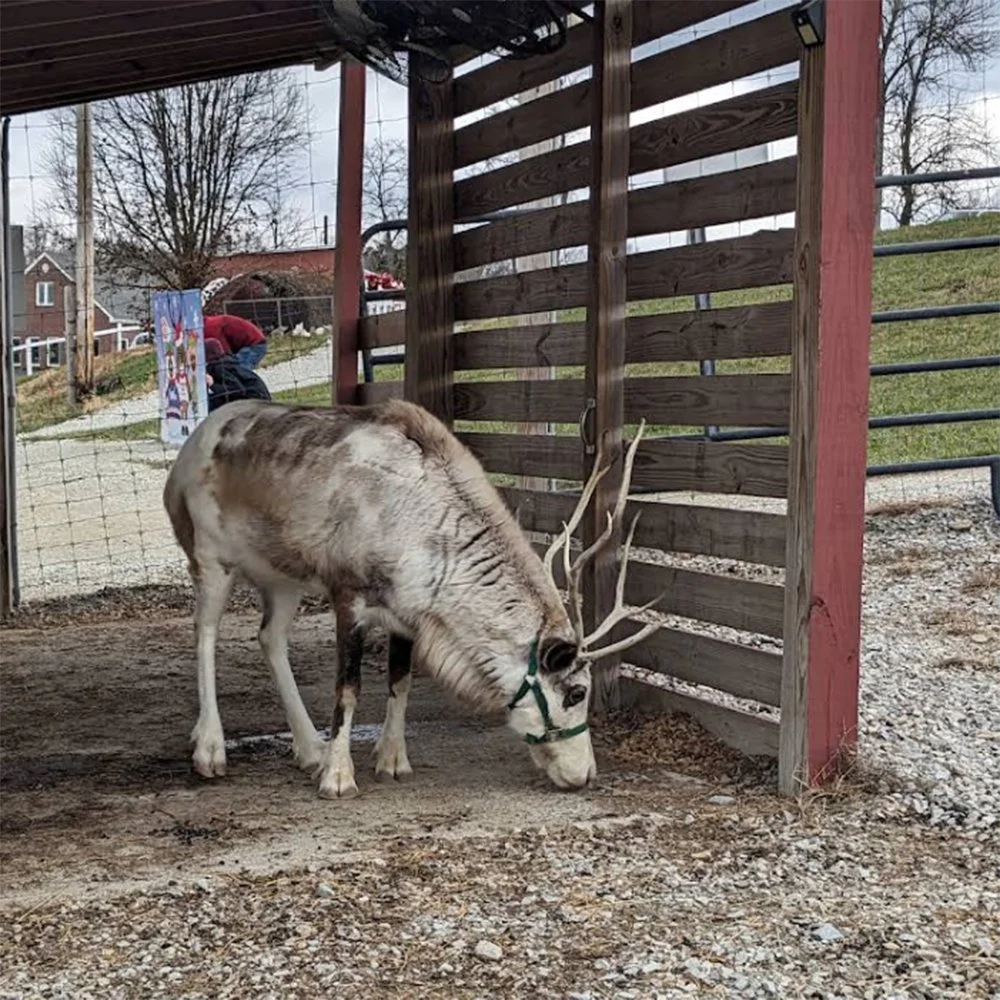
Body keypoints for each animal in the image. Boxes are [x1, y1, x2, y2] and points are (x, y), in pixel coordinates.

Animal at [163, 398, 659, 798]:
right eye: (576, 691)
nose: (585, 774)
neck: (419, 521)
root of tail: (184, 457)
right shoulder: (348, 596)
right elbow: (348, 689)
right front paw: (338, 777)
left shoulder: (408, 612)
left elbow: (399, 681)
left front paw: (391, 760)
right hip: (211, 558)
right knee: (204, 631)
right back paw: (210, 748)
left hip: (283, 576)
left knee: (270, 638)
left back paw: (309, 748)